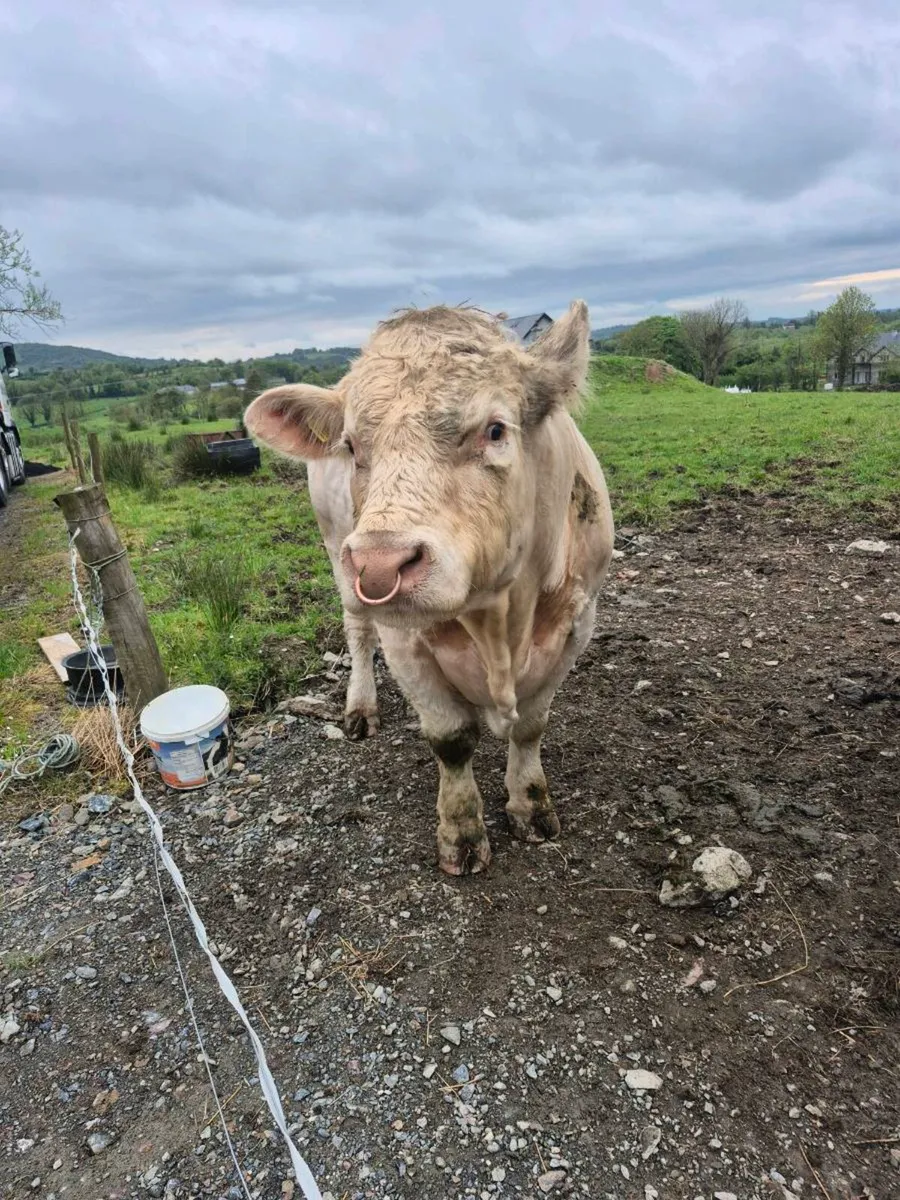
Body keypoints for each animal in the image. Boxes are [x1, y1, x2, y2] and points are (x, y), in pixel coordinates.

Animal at [245, 301, 614, 875]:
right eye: (352, 445)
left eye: (495, 430)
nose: (379, 564)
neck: (500, 622)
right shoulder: (405, 639)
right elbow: (451, 740)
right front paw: (461, 833)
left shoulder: (578, 622)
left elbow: (531, 726)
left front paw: (531, 806)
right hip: (336, 550)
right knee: (358, 632)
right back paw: (360, 708)